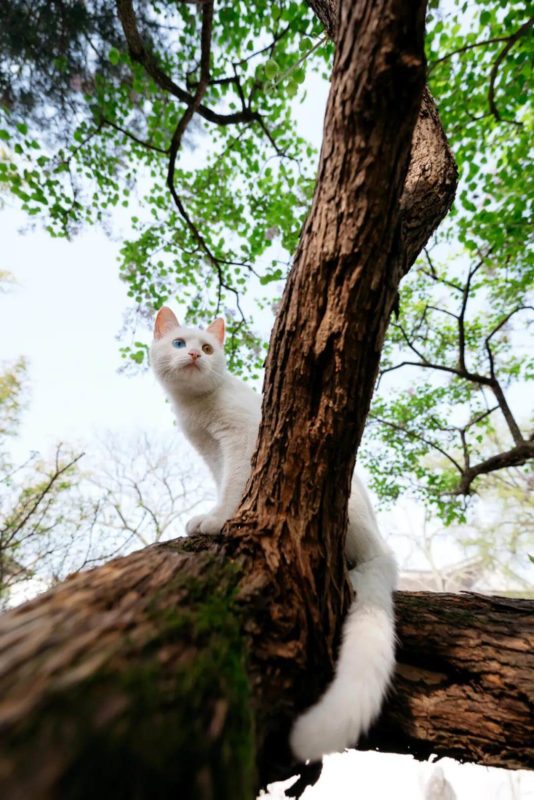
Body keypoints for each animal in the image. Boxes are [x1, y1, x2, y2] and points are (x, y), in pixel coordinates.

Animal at [151, 306, 398, 764]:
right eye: (179, 343)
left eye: (207, 348)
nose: (193, 355)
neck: (197, 410)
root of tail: (384, 553)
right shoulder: (213, 455)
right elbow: (224, 486)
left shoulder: (241, 442)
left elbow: (235, 490)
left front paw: (218, 521)